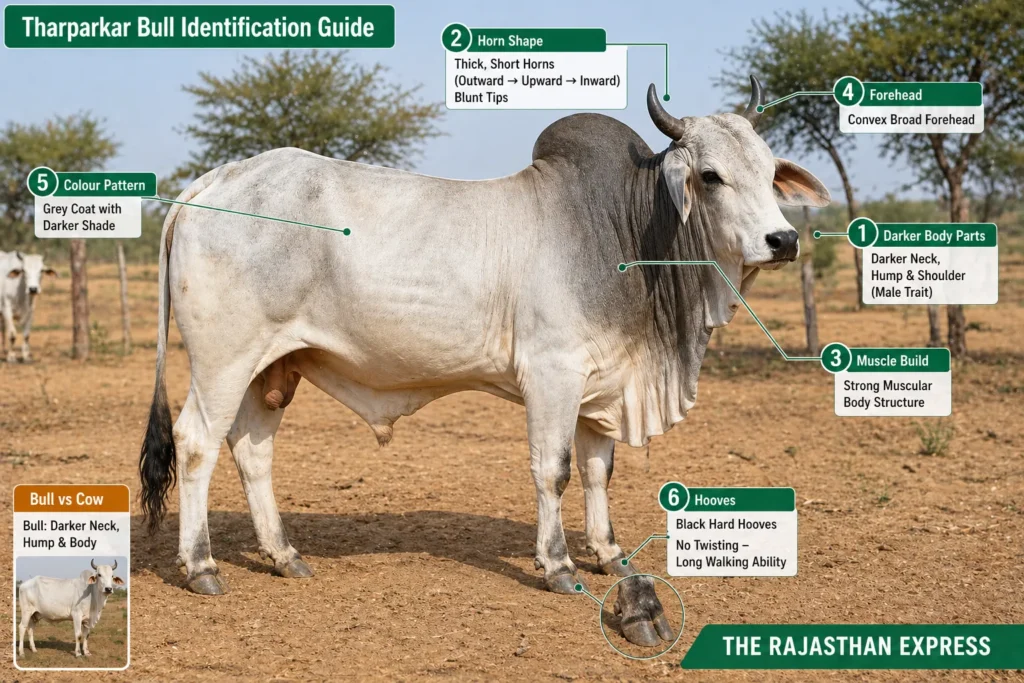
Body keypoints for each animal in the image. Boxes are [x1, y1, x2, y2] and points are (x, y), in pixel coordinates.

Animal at [138, 78, 829, 646]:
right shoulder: (553, 374)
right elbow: (553, 471)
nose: (783, 239)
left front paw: (609, 554)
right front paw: (558, 566)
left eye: (769, 170)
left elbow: (598, 472)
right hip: (225, 360)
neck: (625, 230)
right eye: (710, 175)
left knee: (252, 450)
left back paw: (285, 556)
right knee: (197, 442)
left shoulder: (600, 384)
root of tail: (214, 181)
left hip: (270, 369)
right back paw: (201, 566)